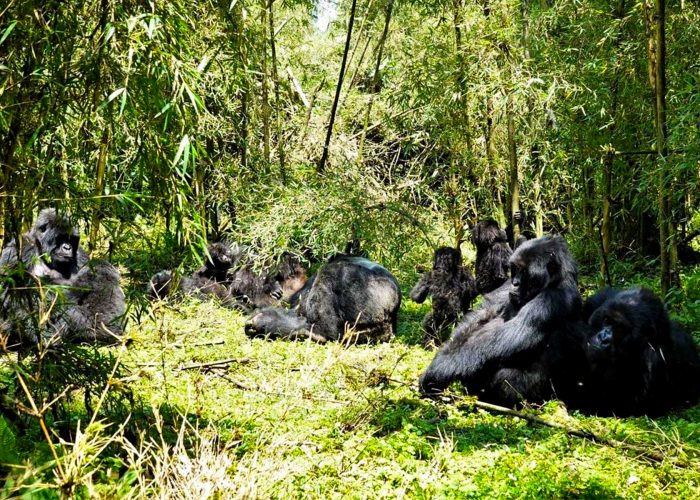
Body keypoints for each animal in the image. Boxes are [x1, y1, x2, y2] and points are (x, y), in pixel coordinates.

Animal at [0, 208, 126, 348]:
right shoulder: (19, 248)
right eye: (61, 238)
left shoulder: (80, 254)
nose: (67, 247)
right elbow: (10, 291)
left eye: (71, 240)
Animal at [418, 237, 588, 406]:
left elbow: (513, 333)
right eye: (515, 269)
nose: (515, 283)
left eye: (525, 271)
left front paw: (440, 370)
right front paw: (440, 360)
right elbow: (485, 312)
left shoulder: (553, 299)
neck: (555, 280)